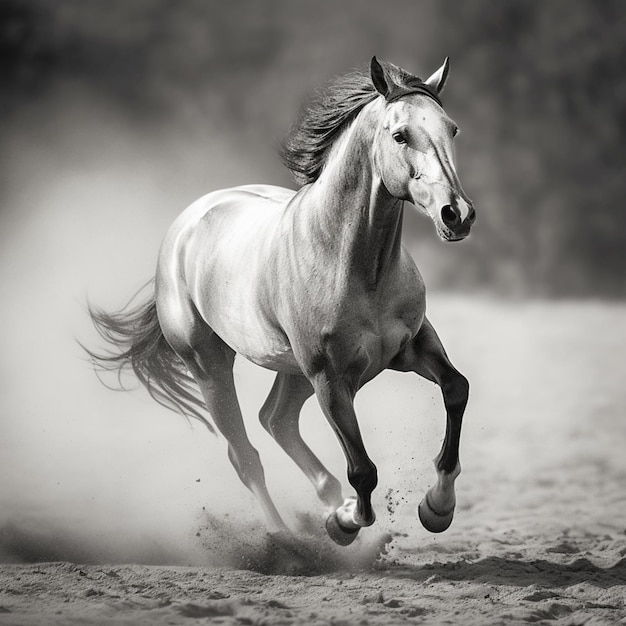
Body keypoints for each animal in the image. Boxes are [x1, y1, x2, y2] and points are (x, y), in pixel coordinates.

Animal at [86, 57, 472, 544]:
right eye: (400, 135)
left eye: (452, 129)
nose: (457, 215)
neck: (357, 266)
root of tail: (185, 226)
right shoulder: (331, 379)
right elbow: (362, 470)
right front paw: (344, 523)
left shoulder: (412, 347)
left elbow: (457, 389)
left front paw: (437, 508)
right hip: (212, 366)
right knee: (246, 455)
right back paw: (285, 537)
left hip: (293, 372)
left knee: (276, 420)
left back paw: (327, 501)